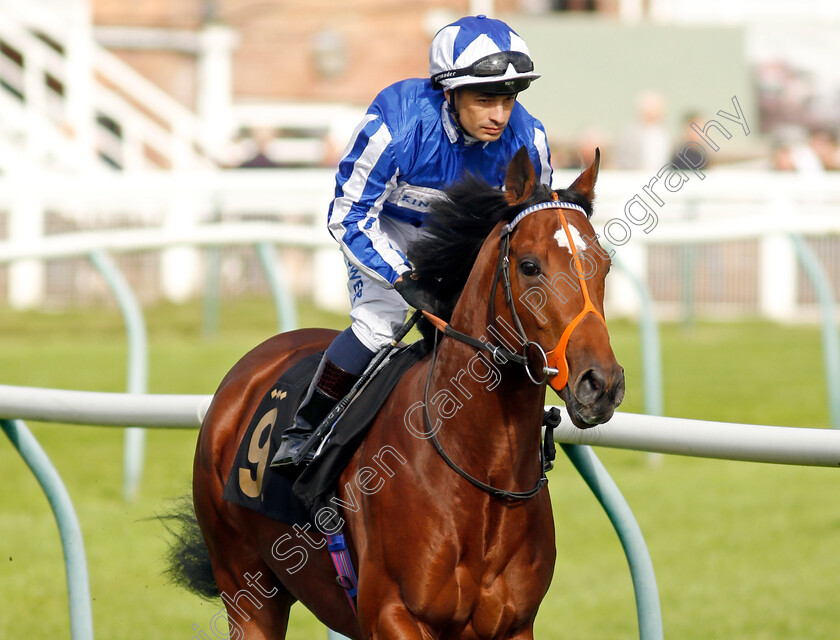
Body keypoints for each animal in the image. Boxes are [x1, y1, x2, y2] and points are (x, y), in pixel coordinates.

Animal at [171, 149, 624, 640]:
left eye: (604, 263)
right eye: (529, 266)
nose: (601, 383)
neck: (477, 474)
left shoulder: (515, 624)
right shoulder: (394, 614)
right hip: (244, 588)